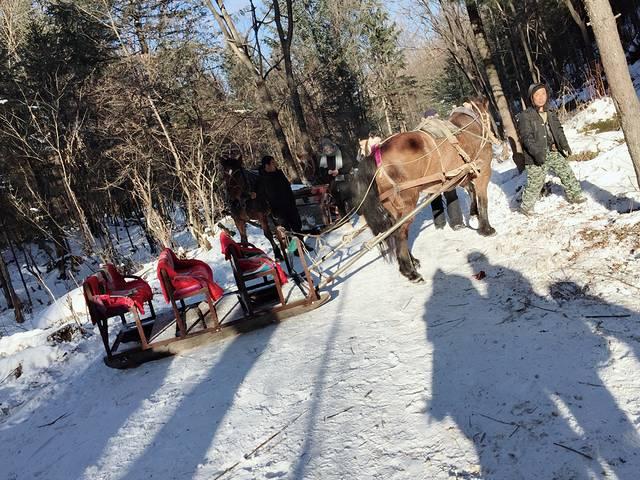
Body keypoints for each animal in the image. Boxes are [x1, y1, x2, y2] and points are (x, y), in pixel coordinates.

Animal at [358, 99, 498, 284]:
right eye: (489, 114)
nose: (495, 132)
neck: (471, 128)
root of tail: (377, 153)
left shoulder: (464, 175)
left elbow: (471, 192)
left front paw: (474, 214)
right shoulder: (483, 172)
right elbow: (483, 200)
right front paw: (486, 229)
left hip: (392, 206)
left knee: (395, 232)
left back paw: (413, 261)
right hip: (408, 203)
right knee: (400, 233)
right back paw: (410, 271)